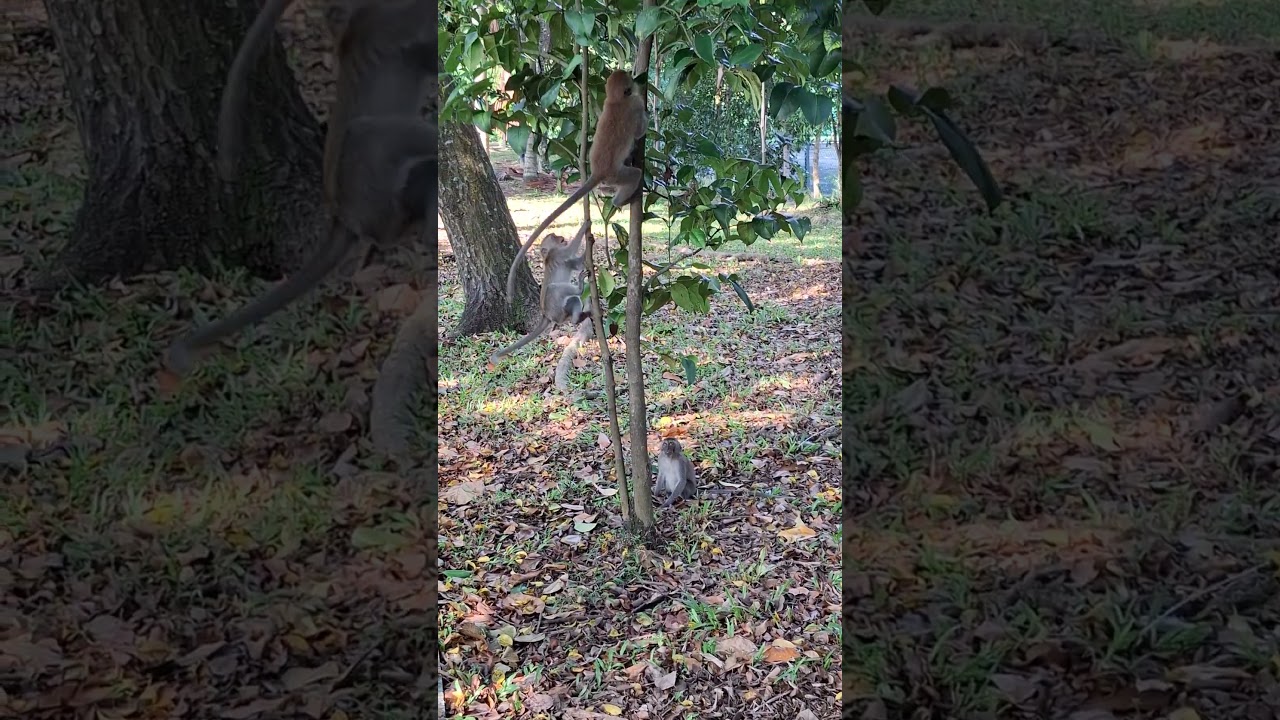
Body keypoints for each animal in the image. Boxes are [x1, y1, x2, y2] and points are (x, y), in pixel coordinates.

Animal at [490, 225, 594, 365]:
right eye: (554, 237)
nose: (560, 237)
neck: (548, 257)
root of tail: (546, 315)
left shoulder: (564, 260)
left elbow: (578, 264)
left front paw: (590, 242)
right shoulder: (558, 254)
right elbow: (572, 249)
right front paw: (585, 225)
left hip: (560, 311)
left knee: (572, 300)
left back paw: (576, 318)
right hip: (554, 307)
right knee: (554, 289)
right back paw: (579, 290)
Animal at [504, 70, 648, 304]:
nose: (635, 81)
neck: (616, 101)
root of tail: (598, 171)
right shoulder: (633, 105)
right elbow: (639, 130)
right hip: (617, 174)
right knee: (634, 174)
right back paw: (620, 200)